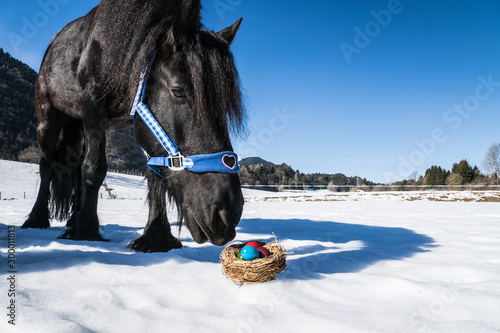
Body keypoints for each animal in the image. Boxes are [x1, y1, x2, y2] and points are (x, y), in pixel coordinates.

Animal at [22, 0, 245, 252]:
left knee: (76, 166)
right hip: (48, 121)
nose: (227, 212)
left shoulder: (140, 125)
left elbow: (154, 173)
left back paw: (71, 220)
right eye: (178, 91)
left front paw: (156, 237)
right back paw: (37, 219)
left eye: (225, 104)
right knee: (47, 164)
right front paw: (87, 231)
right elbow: (95, 169)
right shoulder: (93, 114)